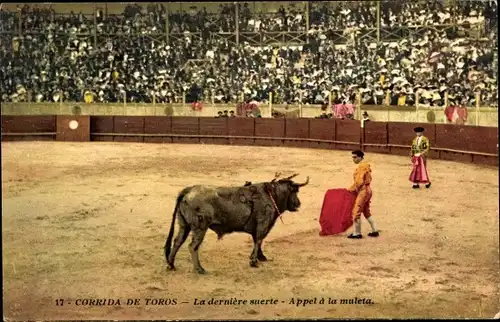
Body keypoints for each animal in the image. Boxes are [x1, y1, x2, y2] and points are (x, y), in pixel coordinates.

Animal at [164, 174, 308, 274]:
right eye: (295, 191)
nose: (299, 204)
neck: (270, 195)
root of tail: (188, 190)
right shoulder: (263, 224)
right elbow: (259, 240)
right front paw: (254, 262)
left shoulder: (257, 228)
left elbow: (258, 241)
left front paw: (261, 257)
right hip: (200, 227)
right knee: (192, 246)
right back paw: (199, 269)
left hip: (184, 226)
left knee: (177, 241)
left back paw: (171, 265)